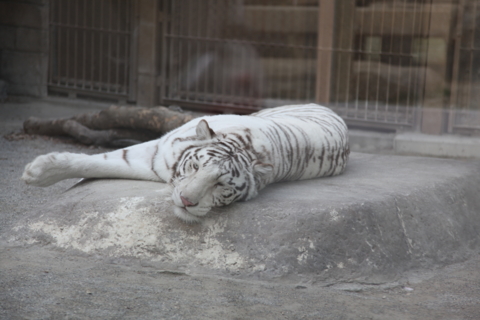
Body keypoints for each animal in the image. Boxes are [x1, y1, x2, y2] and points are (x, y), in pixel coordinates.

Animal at [21, 104, 348, 222]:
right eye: (195, 167)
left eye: (221, 184)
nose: (188, 201)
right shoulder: (156, 153)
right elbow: (99, 162)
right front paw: (37, 172)